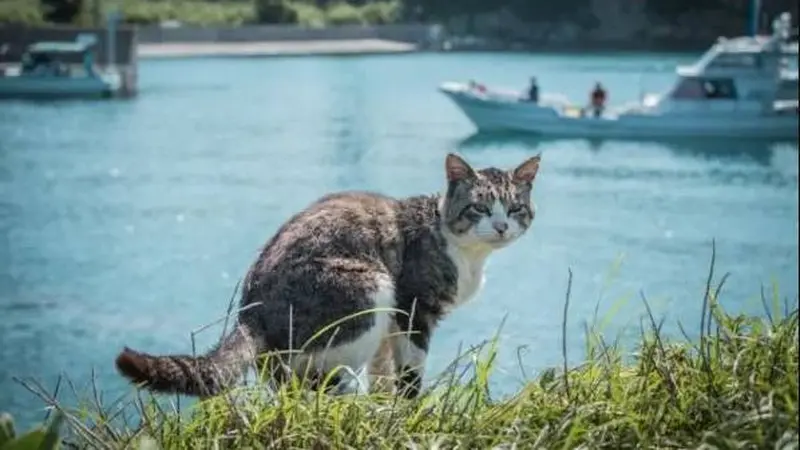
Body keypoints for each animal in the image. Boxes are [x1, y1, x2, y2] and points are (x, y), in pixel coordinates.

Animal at [115, 154, 540, 398]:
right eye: (479, 208)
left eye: (515, 208)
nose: (501, 226)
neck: (465, 251)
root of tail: (251, 310)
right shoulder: (413, 308)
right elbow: (409, 375)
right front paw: (410, 412)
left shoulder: (393, 326)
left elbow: (384, 374)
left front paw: (385, 411)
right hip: (370, 287)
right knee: (319, 382)